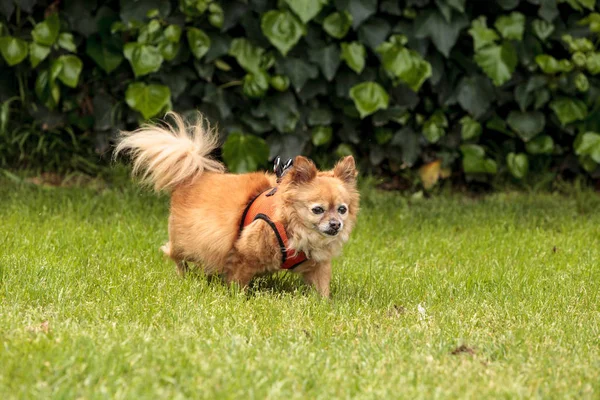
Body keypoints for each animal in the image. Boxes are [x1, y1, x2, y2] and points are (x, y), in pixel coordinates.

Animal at [116, 112, 358, 296]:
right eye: (317, 210)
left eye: (342, 210)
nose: (336, 224)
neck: (293, 228)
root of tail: (192, 176)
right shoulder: (242, 256)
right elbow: (238, 280)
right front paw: (237, 298)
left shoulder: (318, 266)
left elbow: (321, 286)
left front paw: (324, 304)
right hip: (186, 243)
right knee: (176, 256)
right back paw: (184, 277)